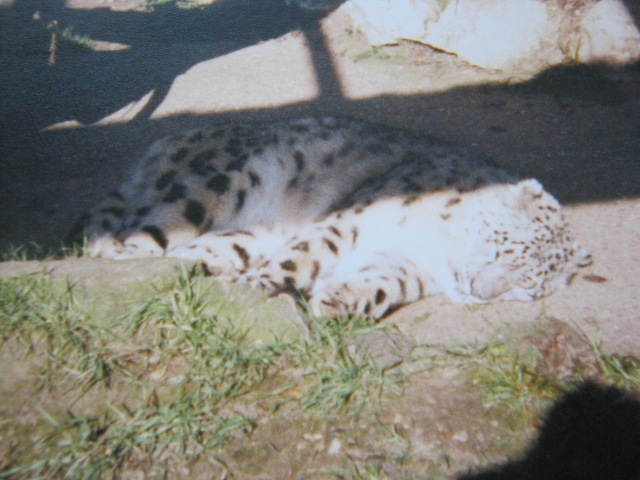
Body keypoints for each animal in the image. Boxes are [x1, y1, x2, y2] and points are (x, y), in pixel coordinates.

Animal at [70, 116, 591, 319]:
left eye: (529, 287)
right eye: (502, 242)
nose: (480, 292)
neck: (432, 248)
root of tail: (167, 142)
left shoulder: (404, 264)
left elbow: (383, 283)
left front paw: (339, 302)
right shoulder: (351, 220)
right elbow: (305, 256)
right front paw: (261, 288)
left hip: (240, 234)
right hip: (207, 190)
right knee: (124, 236)